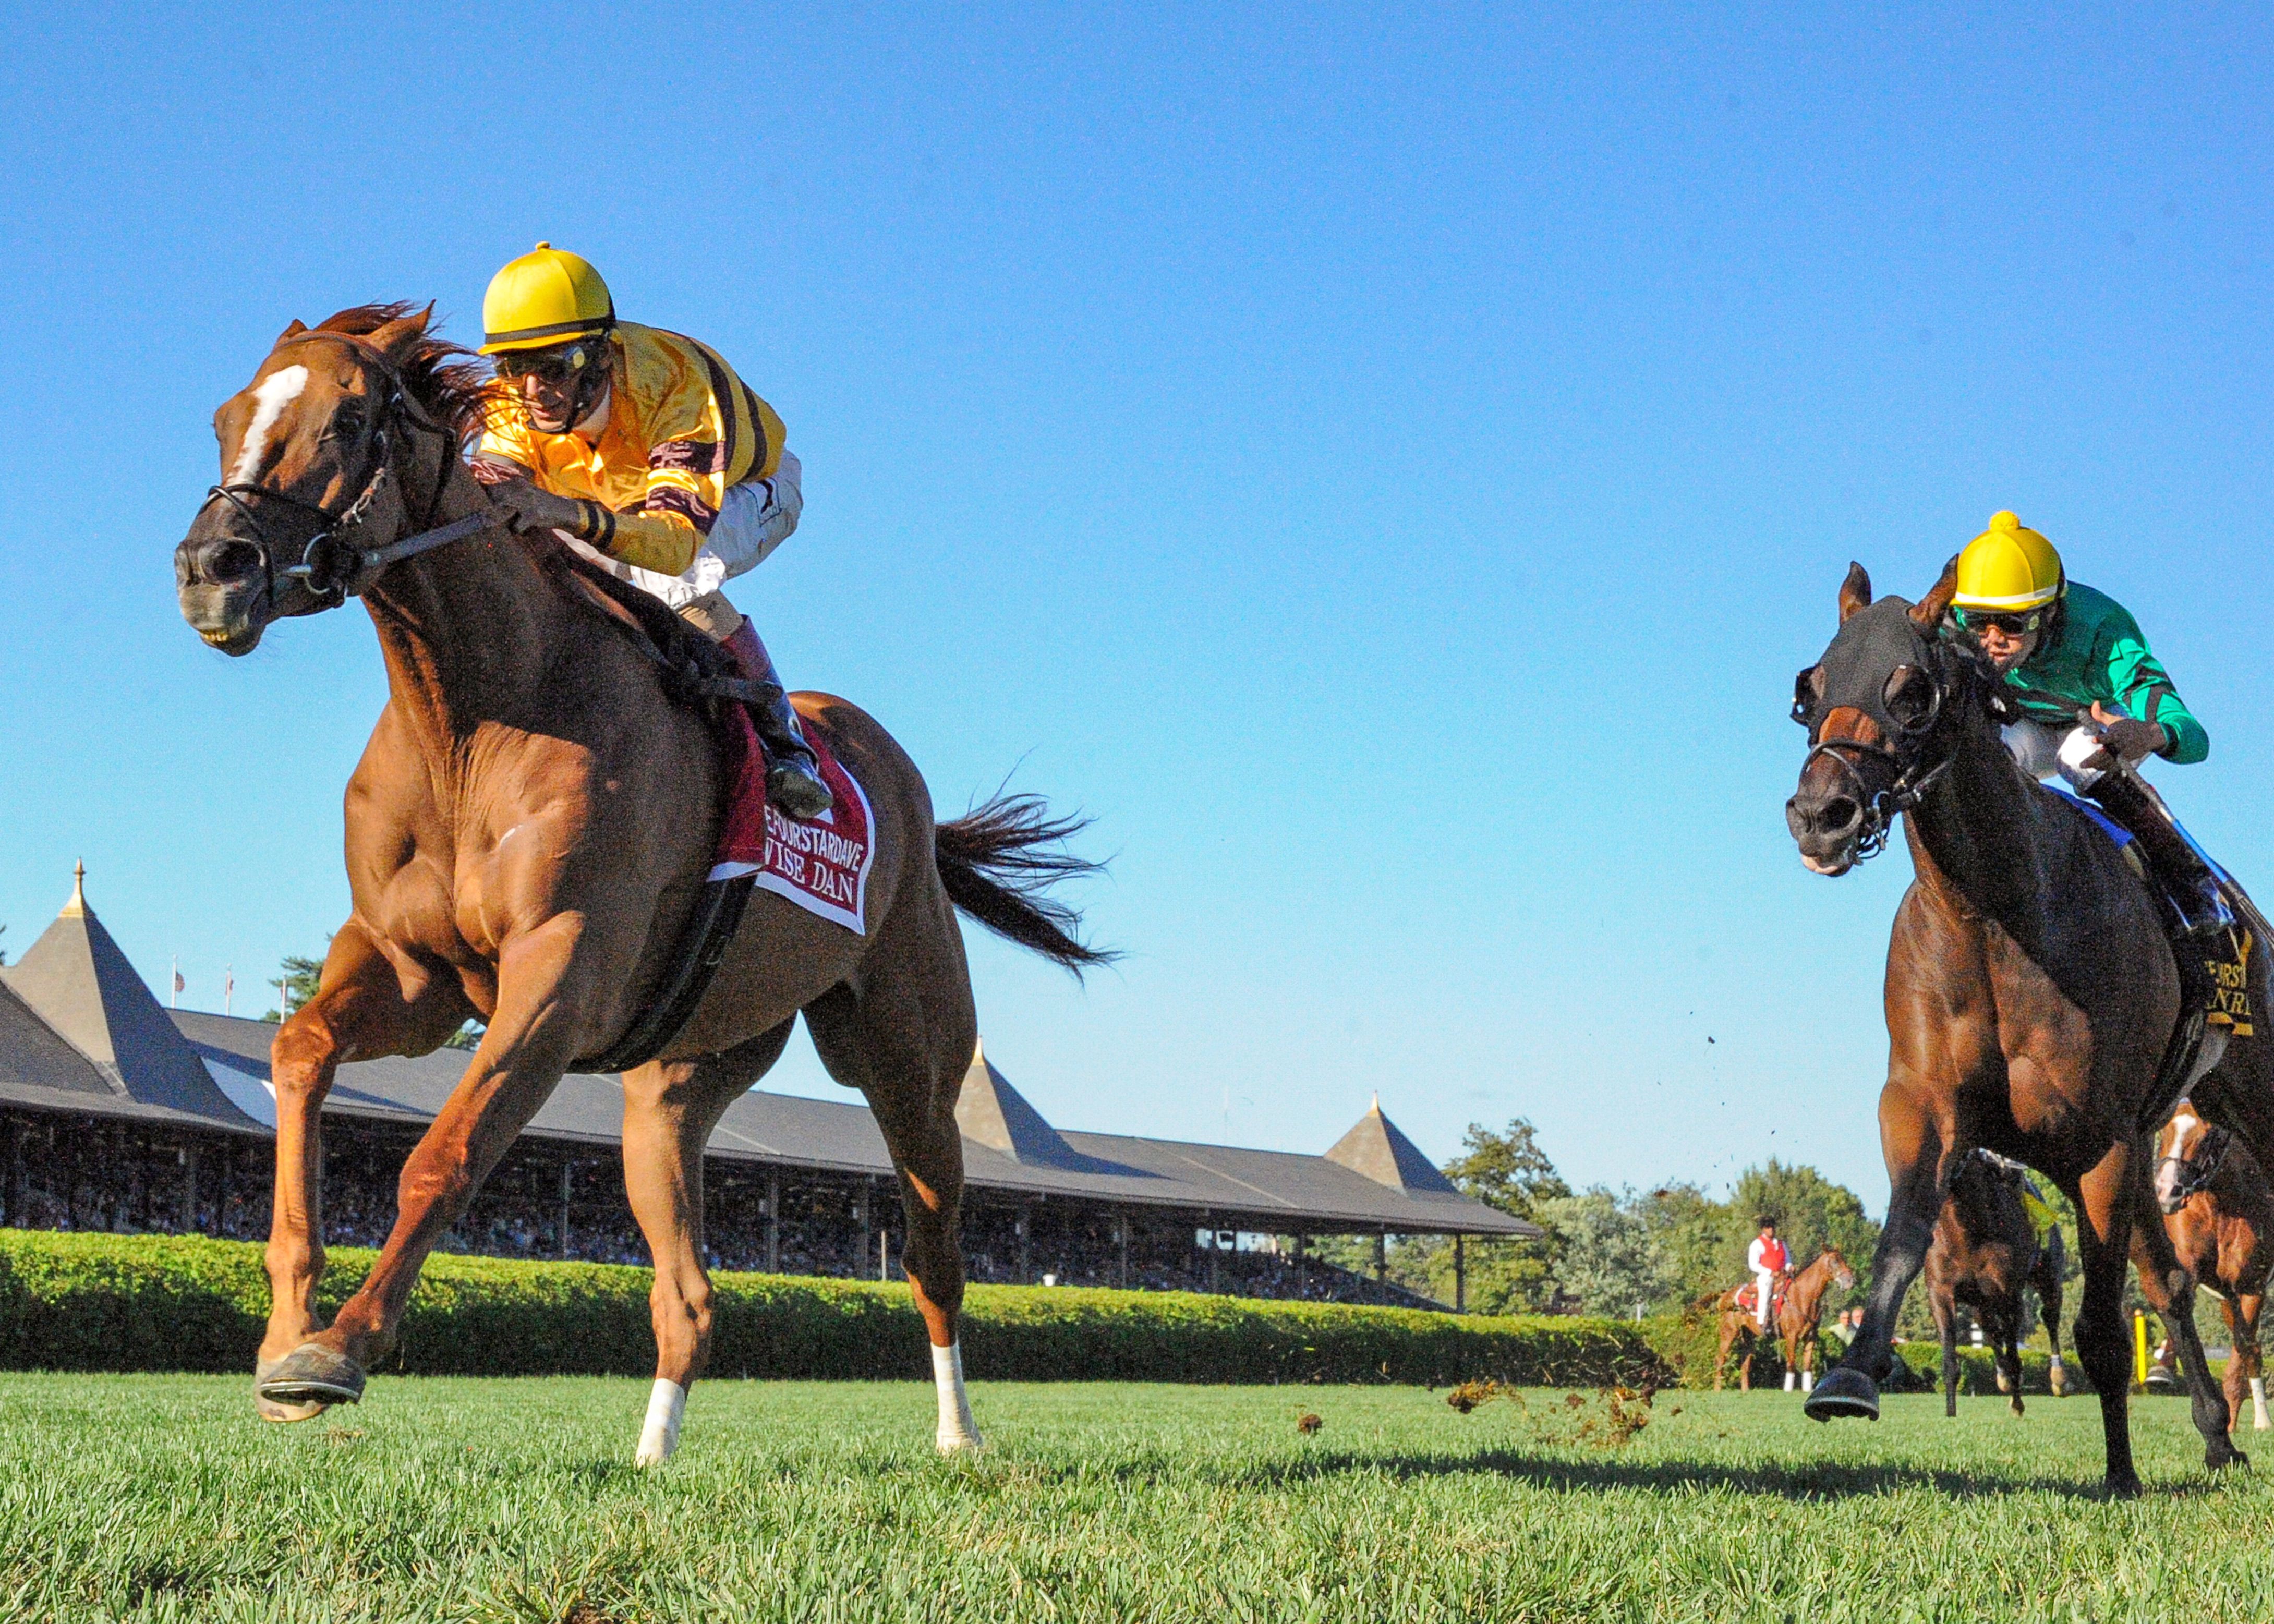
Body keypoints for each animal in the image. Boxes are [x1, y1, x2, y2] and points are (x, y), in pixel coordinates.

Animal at [171, 305, 1109, 1456]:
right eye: (226, 416)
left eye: (348, 418)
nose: (210, 566)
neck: (476, 722)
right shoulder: (413, 970)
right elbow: (298, 1054)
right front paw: (284, 1333)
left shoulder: (559, 973)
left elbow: (445, 1151)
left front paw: (337, 1351)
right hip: (676, 1083)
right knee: (690, 1293)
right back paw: (653, 1452)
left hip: (906, 1054)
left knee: (934, 1255)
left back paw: (959, 1436)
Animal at [1710, 1246, 1855, 1383]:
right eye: (1835, 1261)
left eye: (1843, 1259)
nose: (1851, 1281)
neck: (1802, 1295)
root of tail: (1726, 1296)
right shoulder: (1792, 1337)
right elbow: (1791, 1365)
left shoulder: (1811, 1337)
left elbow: (1807, 1366)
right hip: (1729, 1333)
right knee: (1720, 1359)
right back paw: (1718, 1388)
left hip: (1749, 1336)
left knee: (1745, 1364)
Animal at [1928, 1146, 2074, 1410]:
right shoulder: (1941, 1291)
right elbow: (1952, 1362)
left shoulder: (2009, 1292)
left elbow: (2014, 1347)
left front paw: (2018, 1403)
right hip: (1981, 1302)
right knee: (1989, 1329)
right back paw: (2003, 1376)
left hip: (2048, 1276)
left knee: (2049, 1316)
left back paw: (2059, 1379)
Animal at [2146, 1100, 2274, 1428]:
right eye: (2165, 1130)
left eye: (2207, 1137)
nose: (2167, 1191)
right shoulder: (2193, 1267)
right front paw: (2162, 1369)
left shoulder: (2252, 1287)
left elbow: (2242, 1352)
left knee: (2250, 1348)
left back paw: (2261, 1419)